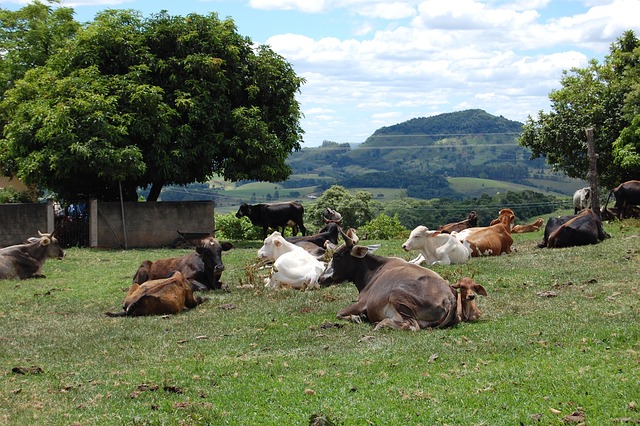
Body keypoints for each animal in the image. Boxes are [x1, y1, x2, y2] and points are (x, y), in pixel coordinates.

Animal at [318, 231, 460, 332]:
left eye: (336, 255)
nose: (321, 279)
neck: (376, 270)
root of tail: (449, 297)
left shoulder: (362, 304)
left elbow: (339, 313)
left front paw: (357, 317)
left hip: (397, 296)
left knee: (412, 326)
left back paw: (380, 324)